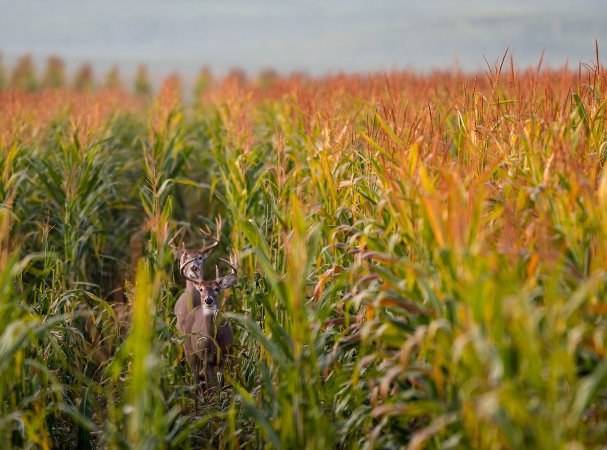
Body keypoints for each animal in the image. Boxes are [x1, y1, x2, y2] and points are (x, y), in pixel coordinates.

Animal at [178, 253, 238, 390]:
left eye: (217, 289)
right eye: (201, 289)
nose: (208, 300)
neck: (214, 338)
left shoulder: (223, 356)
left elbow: (220, 385)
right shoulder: (206, 358)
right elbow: (210, 386)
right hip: (189, 350)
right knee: (195, 379)